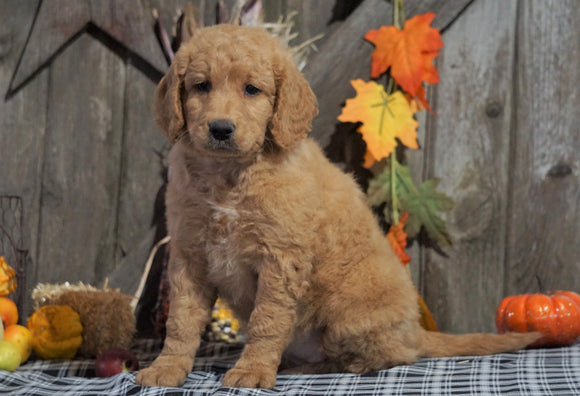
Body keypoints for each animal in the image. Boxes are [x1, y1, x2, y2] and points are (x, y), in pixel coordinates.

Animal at [137, 25, 540, 390]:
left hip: (349, 316)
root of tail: (415, 331)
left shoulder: (280, 259)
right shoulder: (190, 254)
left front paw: (252, 370)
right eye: (201, 86)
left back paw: (304, 369)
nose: (221, 129)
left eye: (251, 89)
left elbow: (267, 320)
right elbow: (181, 321)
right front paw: (167, 368)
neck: (229, 176)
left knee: (380, 358)